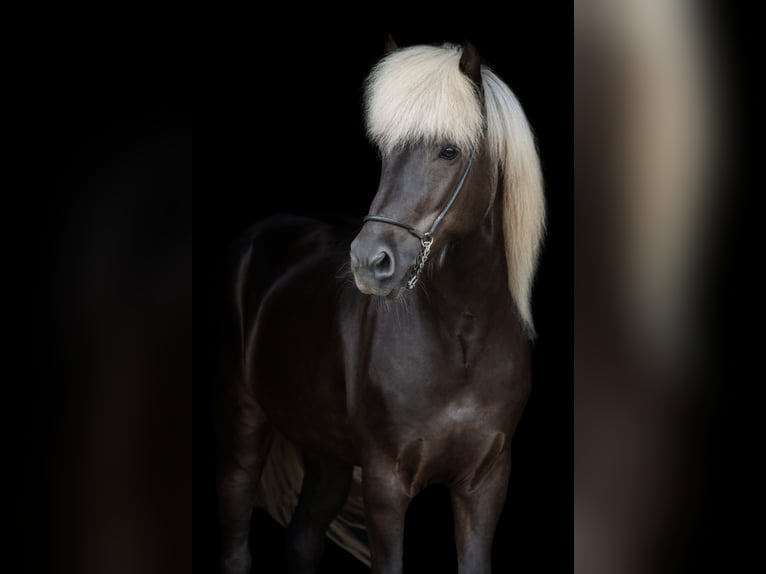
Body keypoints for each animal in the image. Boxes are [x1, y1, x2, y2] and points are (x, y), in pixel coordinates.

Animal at [218, 40, 546, 574]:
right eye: (387, 151)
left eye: (449, 150)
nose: (370, 262)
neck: (462, 343)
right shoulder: (385, 486)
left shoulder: (486, 485)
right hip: (245, 422)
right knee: (236, 531)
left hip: (326, 454)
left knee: (302, 539)